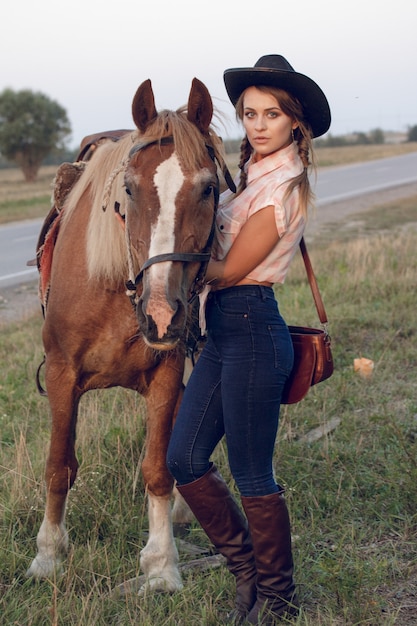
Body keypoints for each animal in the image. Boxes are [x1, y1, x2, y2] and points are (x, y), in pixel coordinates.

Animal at [26, 77, 234, 588]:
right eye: (130, 189)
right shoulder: (61, 376)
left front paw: (161, 565)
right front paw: (48, 555)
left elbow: (158, 468)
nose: (161, 315)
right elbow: (58, 466)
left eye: (209, 188)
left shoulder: (165, 375)